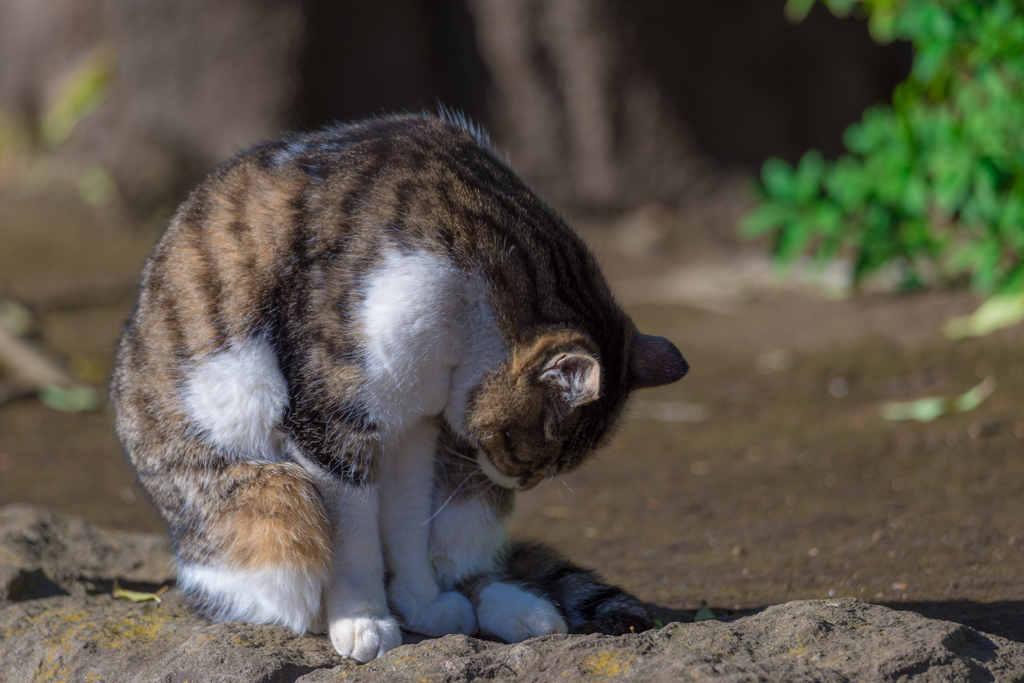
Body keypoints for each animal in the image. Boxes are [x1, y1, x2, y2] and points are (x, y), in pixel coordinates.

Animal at [110, 112, 688, 663]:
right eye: (518, 450)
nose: (518, 484)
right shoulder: (331, 426)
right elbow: (356, 542)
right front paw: (364, 619)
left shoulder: (415, 428)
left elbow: (407, 524)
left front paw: (421, 602)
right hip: (273, 500)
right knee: (278, 581)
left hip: (465, 497)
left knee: (469, 564)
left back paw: (522, 612)